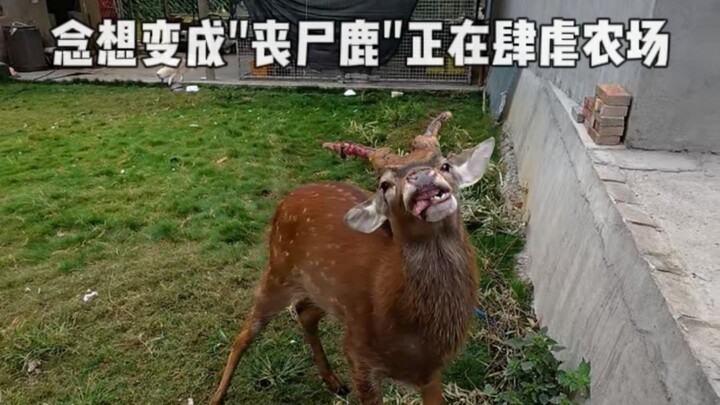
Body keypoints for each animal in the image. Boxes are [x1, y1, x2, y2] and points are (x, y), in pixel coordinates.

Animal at [211, 112, 495, 405]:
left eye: (445, 165)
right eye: (384, 184)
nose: (421, 177)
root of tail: (284, 202)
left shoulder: (432, 368)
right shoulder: (359, 353)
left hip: (323, 289)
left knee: (304, 311)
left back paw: (333, 381)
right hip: (278, 266)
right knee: (246, 331)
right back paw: (218, 396)